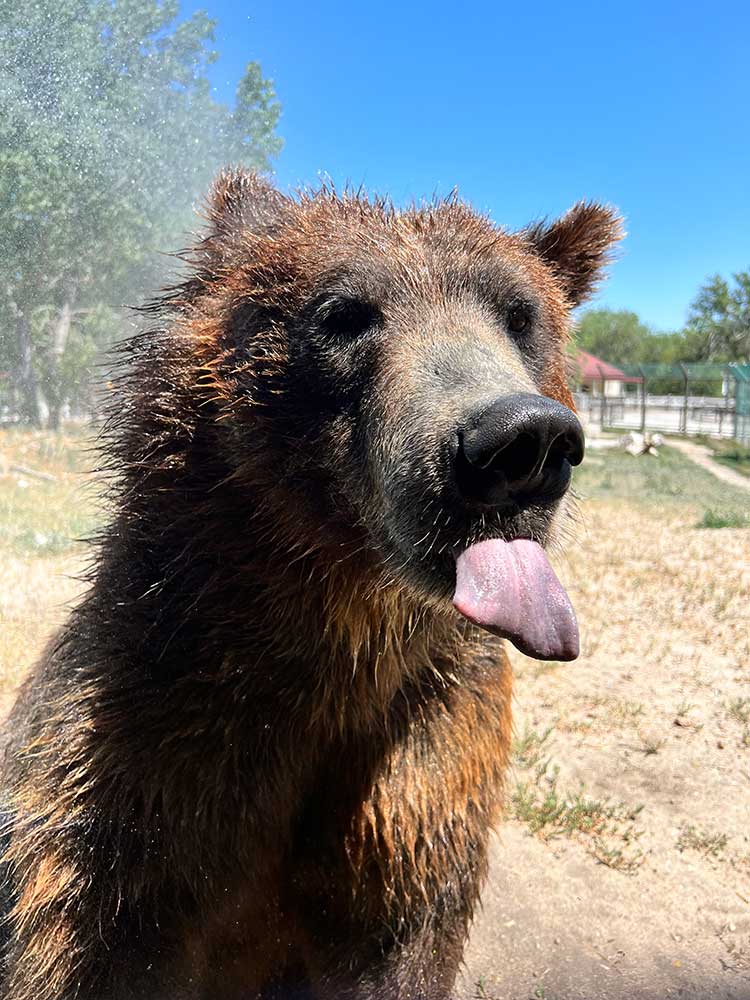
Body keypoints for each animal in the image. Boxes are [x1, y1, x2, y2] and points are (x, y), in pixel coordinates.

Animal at [0, 174, 624, 1000]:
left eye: (521, 315)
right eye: (344, 313)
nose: (518, 440)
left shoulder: (421, 774)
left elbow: (400, 941)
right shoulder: (149, 760)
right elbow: (99, 933)